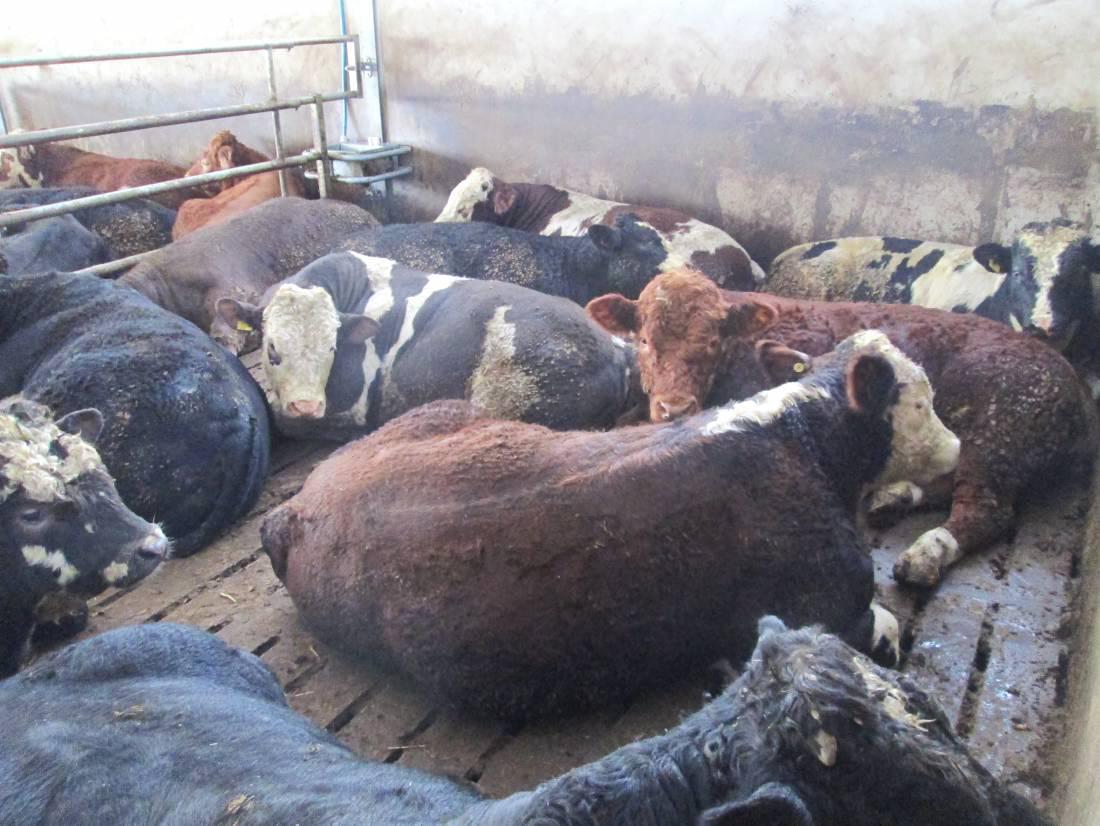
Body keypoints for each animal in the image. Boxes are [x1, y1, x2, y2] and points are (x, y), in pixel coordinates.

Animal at [261, 330, 960, 718]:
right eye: (923, 400)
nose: (957, 448)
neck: (801, 437)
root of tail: (296, 512)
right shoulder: (828, 605)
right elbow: (882, 628)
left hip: (446, 412)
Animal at [587, 269, 1096, 587]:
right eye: (644, 339)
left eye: (712, 341)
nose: (674, 407)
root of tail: (1072, 380)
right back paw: (893, 498)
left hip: (1000, 432)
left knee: (985, 508)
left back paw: (925, 555)